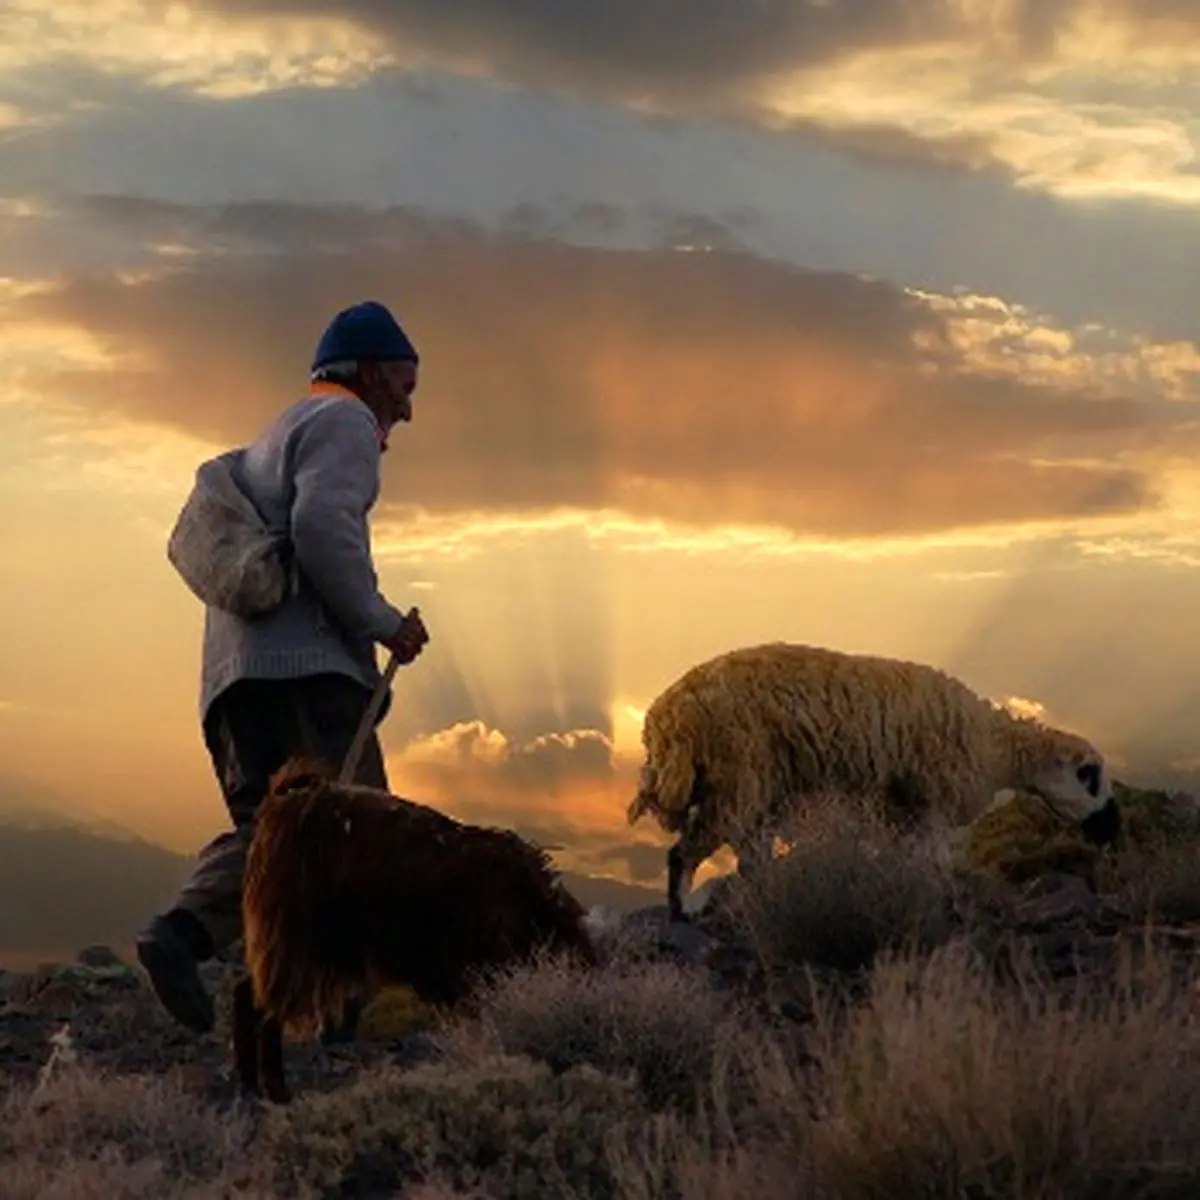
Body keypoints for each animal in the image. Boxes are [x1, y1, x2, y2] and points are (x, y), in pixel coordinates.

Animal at [231, 753, 597, 1099]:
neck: (528, 904)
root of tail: (284, 801)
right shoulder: (463, 972)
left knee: (247, 991)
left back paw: (252, 1085)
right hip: (295, 937)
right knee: (259, 1005)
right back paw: (274, 1090)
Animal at [624, 648, 1118, 916]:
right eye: (1093, 779)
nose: (1110, 830)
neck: (997, 747)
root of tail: (666, 718)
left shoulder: (903, 804)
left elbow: (912, 857)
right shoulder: (935, 797)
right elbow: (935, 859)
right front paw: (946, 901)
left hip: (750, 781)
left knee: (747, 849)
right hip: (739, 774)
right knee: (688, 850)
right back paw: (684, 909)